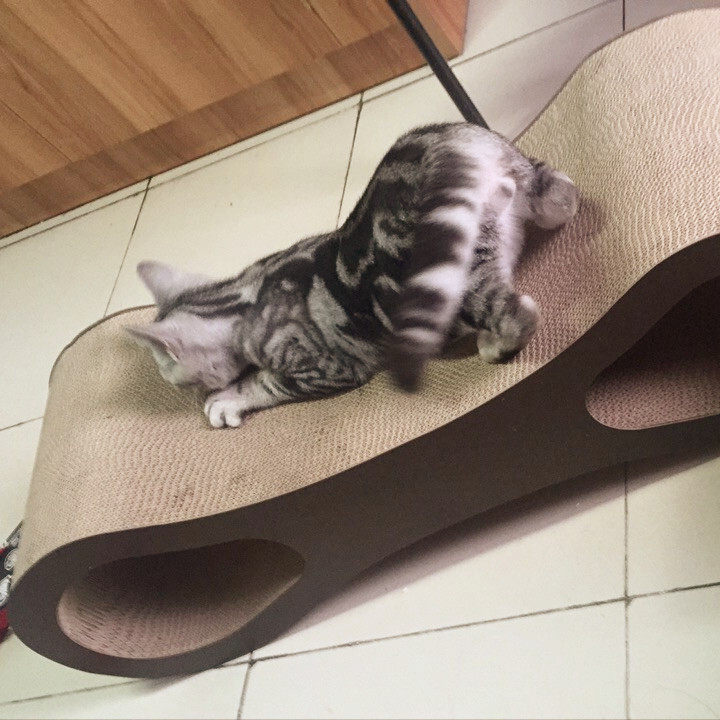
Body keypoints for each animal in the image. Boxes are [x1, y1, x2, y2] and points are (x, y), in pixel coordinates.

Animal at [127, 122, 578, 428]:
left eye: (178, 383)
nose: (188, 393)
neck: (243, 296)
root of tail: (442, 145)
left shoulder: (325, 368)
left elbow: (266, 383)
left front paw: (227, 399)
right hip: (533, 181)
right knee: (566, 195)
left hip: (457, 280)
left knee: (517, 312)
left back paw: (495, 345)